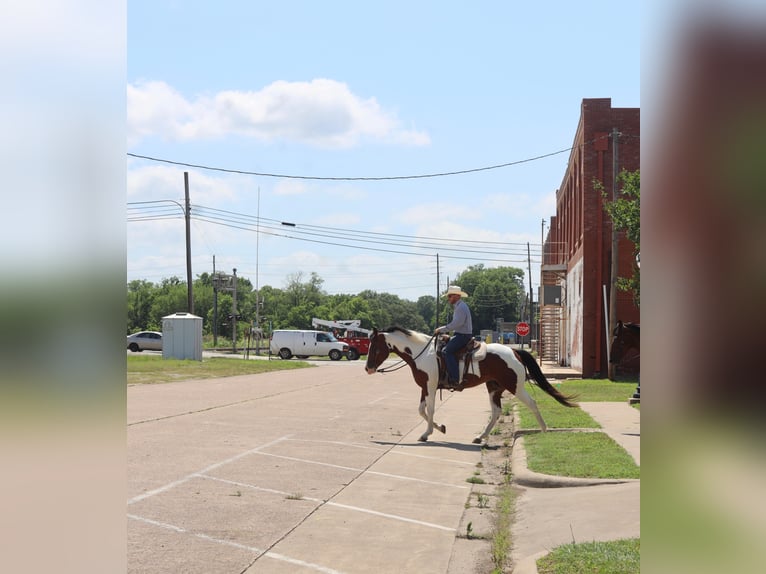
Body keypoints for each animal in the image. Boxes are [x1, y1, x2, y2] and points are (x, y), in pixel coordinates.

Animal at [364, 328, 576, 446]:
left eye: (375, 347)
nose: (368, 368)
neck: (422, 353)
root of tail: (514, 351)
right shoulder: (425, 388)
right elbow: (421, 410)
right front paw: (440, 428)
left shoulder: (430, 387)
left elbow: (429, 410)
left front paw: (427, 433)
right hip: (494, 388)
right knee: (497, 411)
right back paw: (480, 437)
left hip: (514, 386)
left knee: (531, 403)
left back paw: (544, 430)